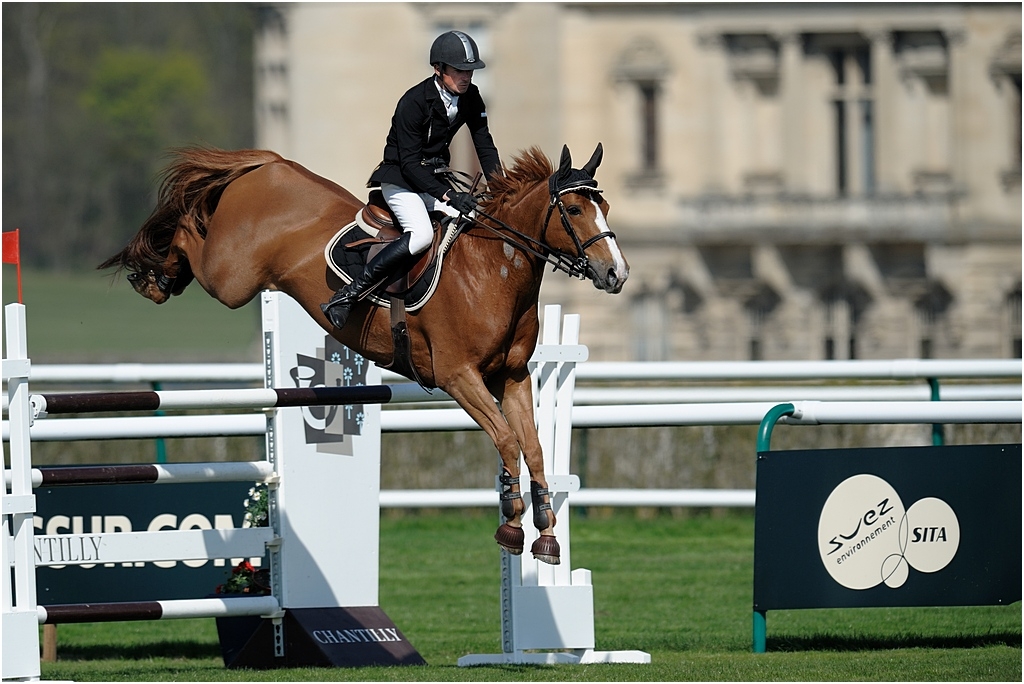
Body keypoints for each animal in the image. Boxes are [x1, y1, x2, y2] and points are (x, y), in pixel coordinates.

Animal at [98, 144, 629, 565]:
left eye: (603, 204)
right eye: (574, 210)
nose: (616, 274)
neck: (493, 269)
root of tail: (272, 164)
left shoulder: (512, 376)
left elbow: (532, 447)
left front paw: (544, 533)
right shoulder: (459, 377)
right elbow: (506, 441)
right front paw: (512, 525)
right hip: (231, 278)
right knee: (189, 229)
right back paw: (155, 275)